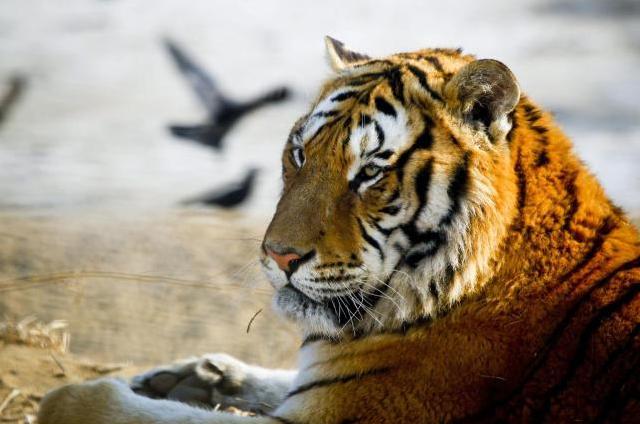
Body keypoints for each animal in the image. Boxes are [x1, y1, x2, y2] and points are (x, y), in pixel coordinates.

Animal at [39, 37, 639, 424]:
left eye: (370, 171)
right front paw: (188, 375)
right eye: (300, 154)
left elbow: (101, 406)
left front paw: (75, 396)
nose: (278, 256)